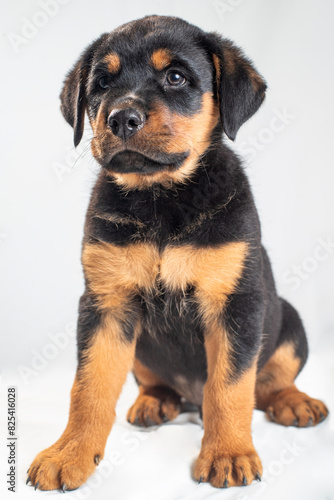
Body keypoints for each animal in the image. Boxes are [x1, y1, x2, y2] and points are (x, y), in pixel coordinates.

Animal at [26, 13, 328, 490]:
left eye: (176, 77)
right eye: (102, 83)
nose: (121, 118)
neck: (162, 200)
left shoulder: (236, 305)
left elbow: (230, 388)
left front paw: (228, 455)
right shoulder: (105, 304)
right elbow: (89, 387)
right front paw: (68, 454)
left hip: (289, 321)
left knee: (269, 382)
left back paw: (294, 402)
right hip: (140, 349)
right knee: (151, 379)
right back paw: (155, 401)